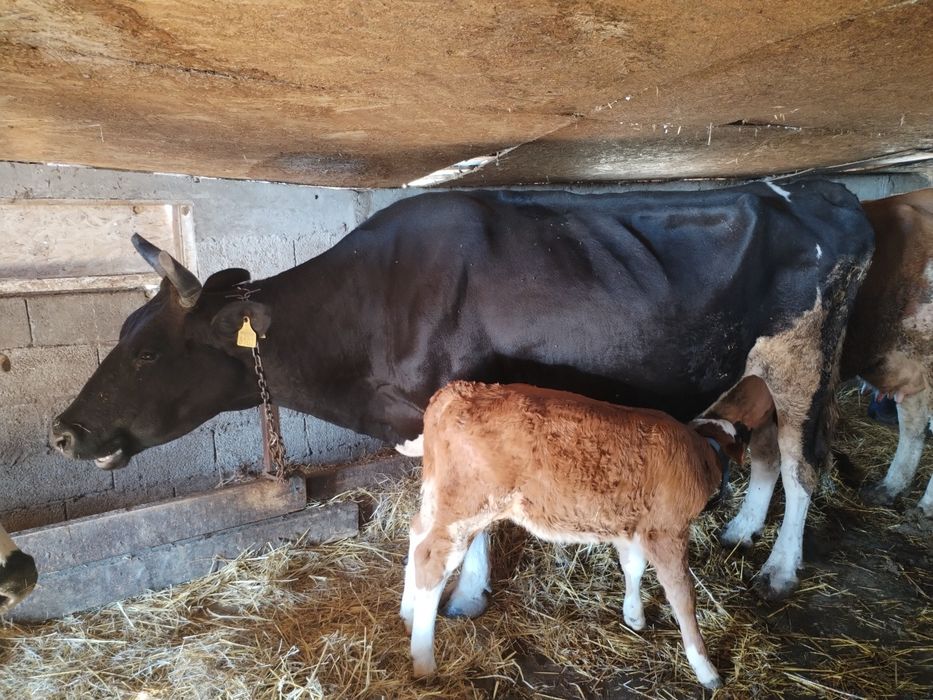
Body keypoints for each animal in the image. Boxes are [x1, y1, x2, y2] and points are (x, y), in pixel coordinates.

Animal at [50, 180, 875, 601]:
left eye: (148, 351)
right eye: (123, 330)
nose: (63, 431)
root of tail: (826, 189)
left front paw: (466, 595)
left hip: (806, 357)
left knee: (803, 462)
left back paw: (779, 569)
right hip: (757, 372)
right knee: (765, 451)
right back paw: (741, 531)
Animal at [401, 381, 748, 689]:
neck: (700, 453)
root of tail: (455, 391)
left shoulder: (630, 526)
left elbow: (633, 566)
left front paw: (634, 616)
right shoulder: (666, 531)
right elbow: (682, 595)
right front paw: (705, 668)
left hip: (441, 500)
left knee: (417, 534)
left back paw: (408, 613)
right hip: (466, 507)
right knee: (431, 559)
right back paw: (424, 662)